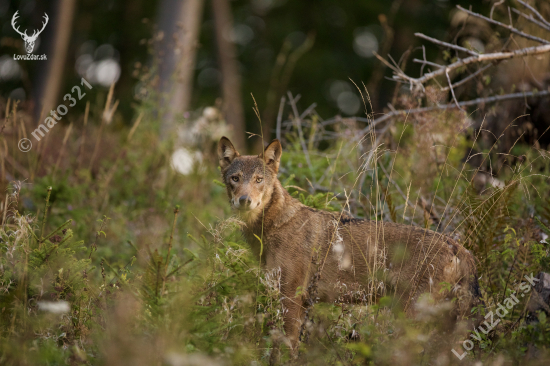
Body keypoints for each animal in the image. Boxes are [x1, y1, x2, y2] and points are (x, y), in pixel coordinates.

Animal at [218, 137, 480, 352]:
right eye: (235, 179)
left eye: (258, 180)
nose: (244, 200)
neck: (269, 230)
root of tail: (459, 247)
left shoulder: (291, 297)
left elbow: (286, 347)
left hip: (412, 316)